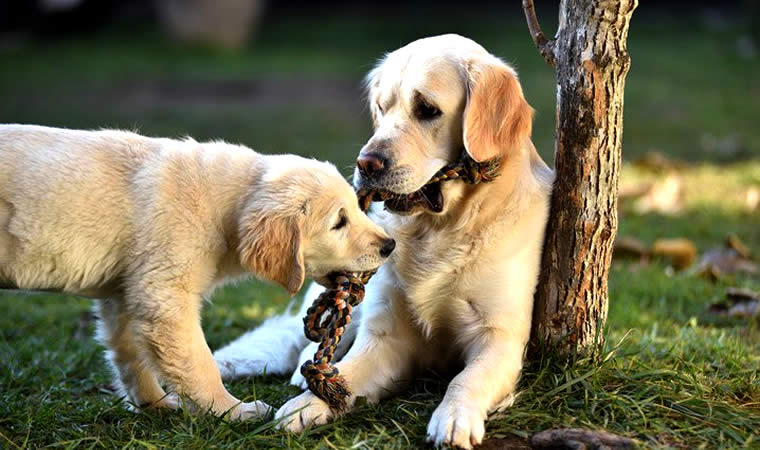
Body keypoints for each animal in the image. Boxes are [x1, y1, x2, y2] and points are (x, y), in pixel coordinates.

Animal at [0, 124, 392, 422]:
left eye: (357, 209)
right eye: (338, 223)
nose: (390, 245)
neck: (224, 205)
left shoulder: (126, 293)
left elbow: (130, 356)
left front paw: (155, 404)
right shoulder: (165, 296)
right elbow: (199, 363)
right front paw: (233, 410)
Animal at [268, 34, 552, 446]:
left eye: (427, 109)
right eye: (381, 108)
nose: (366, 164)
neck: (439, 229)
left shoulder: (499, 336)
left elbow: (466, 378)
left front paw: (454, 417)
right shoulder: (387, 337)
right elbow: (349, 372)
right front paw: (307, 404)